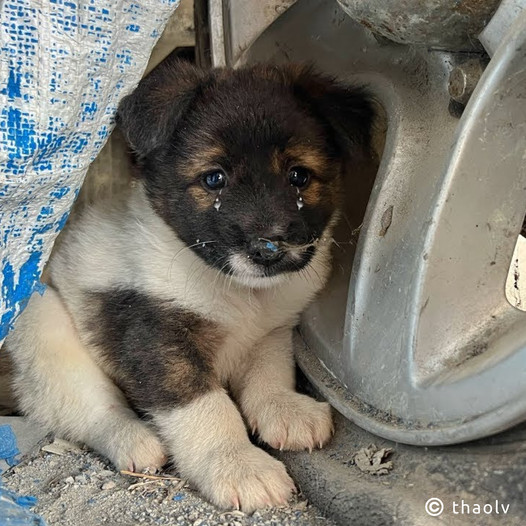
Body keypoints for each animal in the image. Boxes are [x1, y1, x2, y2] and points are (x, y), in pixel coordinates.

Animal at [5, 58, 376, 516]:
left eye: (298, 176)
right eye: (214, 179)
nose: (268, 249)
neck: (237, 292)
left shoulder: (270, 331)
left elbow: (269, 373)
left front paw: (284, 410)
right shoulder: (157, 337)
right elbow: (207, 407)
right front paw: (238, 466)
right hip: (43, 327)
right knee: (90, 408)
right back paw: (137, 441)